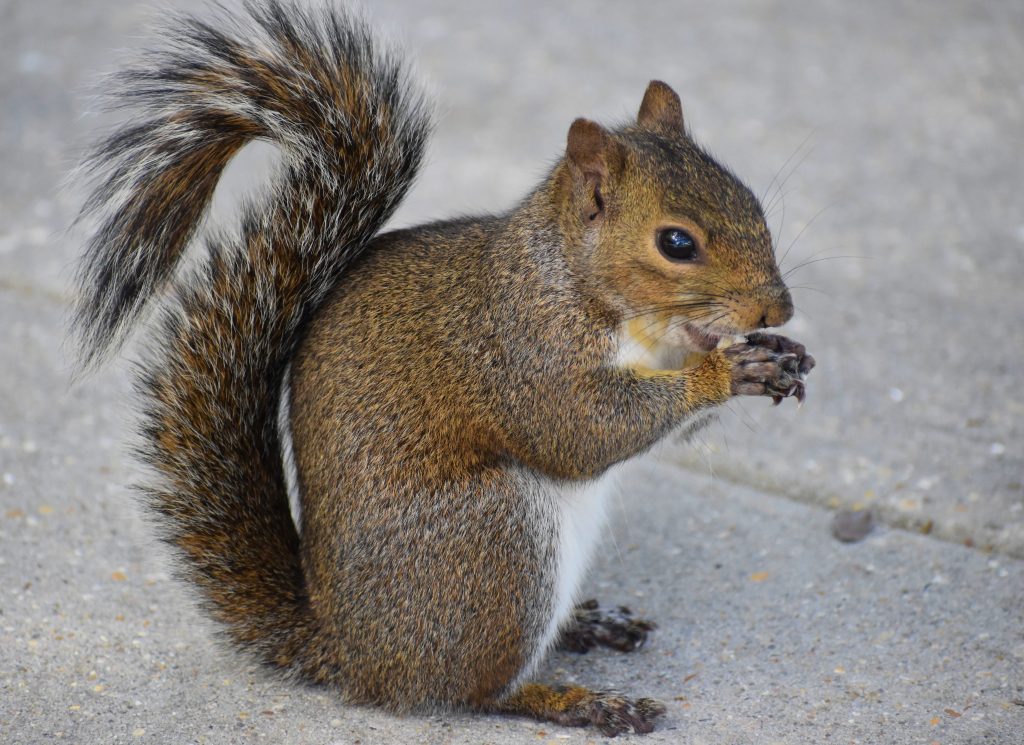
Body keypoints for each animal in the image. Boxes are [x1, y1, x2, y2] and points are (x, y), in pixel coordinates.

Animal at [72, 0, 814, 737]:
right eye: (677, 243)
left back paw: (586, 625)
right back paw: (573, 699)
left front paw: (773, 354)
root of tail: (353, 654)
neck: (593, 293)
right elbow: (582, 429)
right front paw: (724, 372)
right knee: (473, 690)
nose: (779, 307)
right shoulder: (523, 350)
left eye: (749, 198)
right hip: (497, 542)